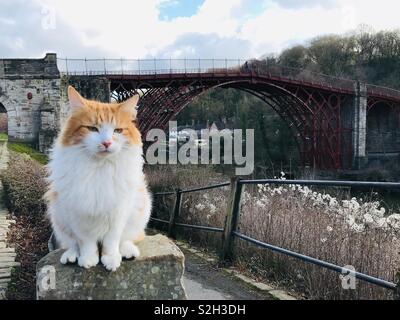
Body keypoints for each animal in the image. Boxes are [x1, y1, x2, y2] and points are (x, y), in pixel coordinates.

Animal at [45, 86, 152, 272]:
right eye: (93, 129)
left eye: (117, 130)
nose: (107, 143)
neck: (100, 167)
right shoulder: (79, 213)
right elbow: (86, 242)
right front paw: (88, 259)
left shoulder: (118, 212)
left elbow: (112, 241)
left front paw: (111, 258)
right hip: (58, 216)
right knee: (71, 243)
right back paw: (71, 256)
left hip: (141, 209)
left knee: (127, 238)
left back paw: (127, 251)